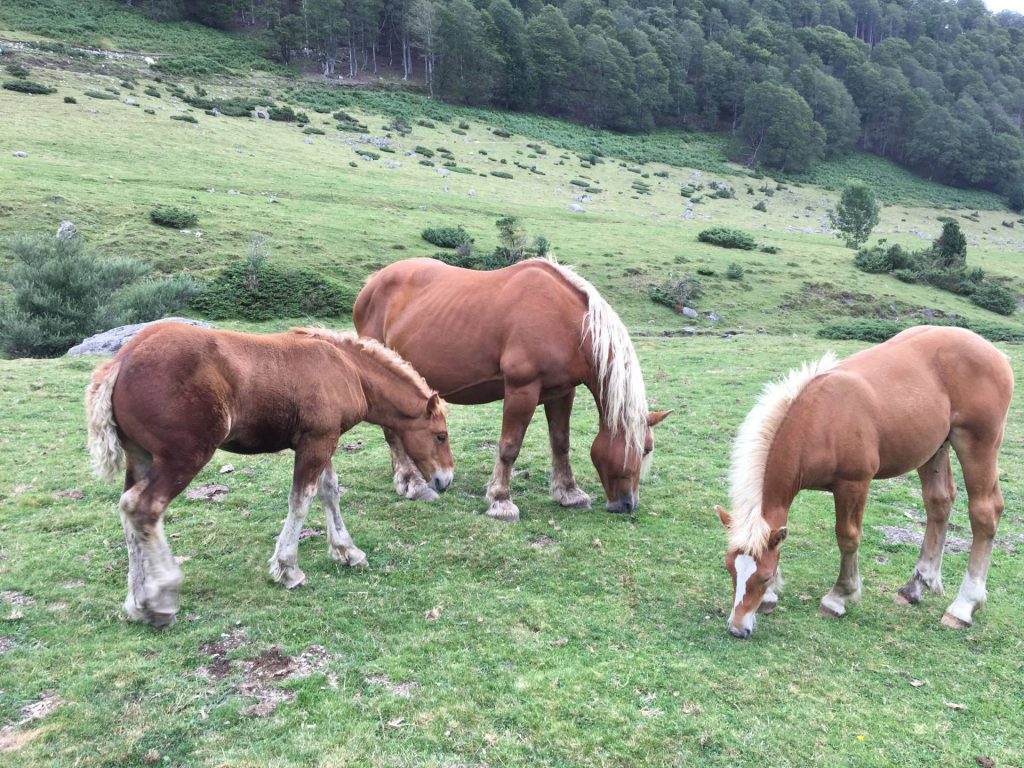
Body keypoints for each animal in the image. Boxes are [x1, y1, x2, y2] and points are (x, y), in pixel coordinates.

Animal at [86, 323, 453, 627]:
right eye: (440, 436)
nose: (445, 480)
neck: (346, 369)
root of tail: (121, 361)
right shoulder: (317, 442)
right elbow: (301, 500)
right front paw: (288, 569)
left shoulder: (323, 440)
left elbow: (329, 491)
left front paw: (347, 552)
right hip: (183, 457)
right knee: (144, 508)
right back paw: (160, 600)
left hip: (141, 457)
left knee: (127, 510)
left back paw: (137, 602)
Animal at [353, 257, 671, 522]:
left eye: (647, 449)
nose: (627, 504)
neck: (566, 322)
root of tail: (373, 283)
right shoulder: (522, 390)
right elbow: (509, 447)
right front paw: (500, 501)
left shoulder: (562, 392)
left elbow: (561, 442)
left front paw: (569, 493)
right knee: (392, 432)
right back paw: (411, 482)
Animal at [716, 326, 1013, 638]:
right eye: (730, 569)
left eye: (764, 576)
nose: (737, 628)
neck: (821, 421)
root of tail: (995, 353)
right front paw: (772, 598)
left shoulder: (854, 483)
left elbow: (848, 537)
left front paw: (838, 597)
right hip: (934, 449)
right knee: (939, 504)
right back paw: (915, 587)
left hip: (979, 444)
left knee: (985, 512)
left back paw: (963, 606)